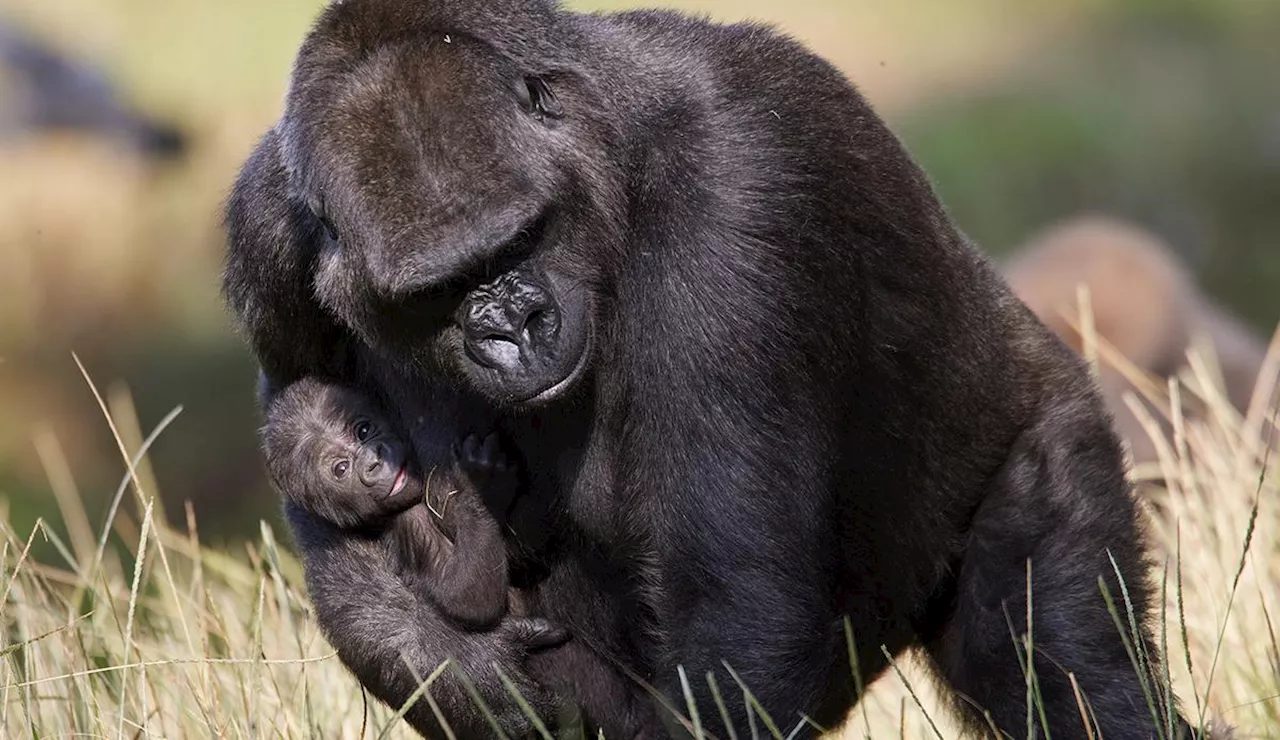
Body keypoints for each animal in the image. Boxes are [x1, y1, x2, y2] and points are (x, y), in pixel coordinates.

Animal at [262, 376, 537, 629]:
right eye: (341, 468)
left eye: (363, 431)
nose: (374, 460)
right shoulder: (411, 522)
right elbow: (469, 597)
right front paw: (481, 488)